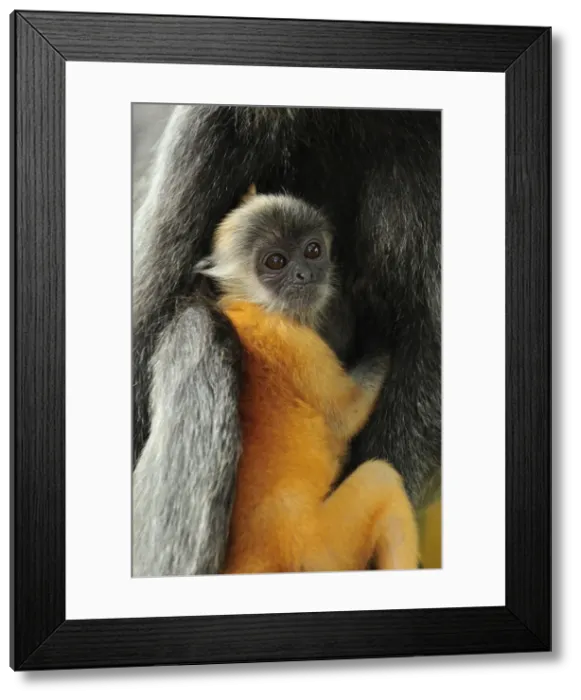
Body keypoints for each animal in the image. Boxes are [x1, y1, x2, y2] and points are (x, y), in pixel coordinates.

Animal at [193, 185, 419, 574]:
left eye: (312, 250)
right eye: (276, 262)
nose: (304, 274)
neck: (252, 304)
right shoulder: (291, 339)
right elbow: (344, 415)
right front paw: (377, 323)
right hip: (319, 551)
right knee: (381, 477)